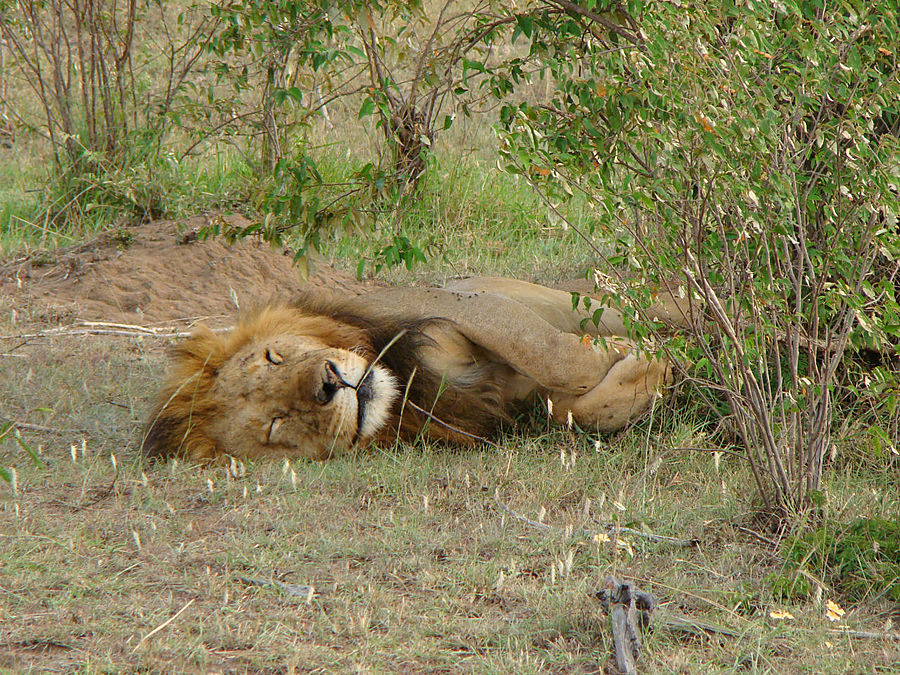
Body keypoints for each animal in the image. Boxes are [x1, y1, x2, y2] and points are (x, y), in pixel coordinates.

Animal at [142, 278, 684, 462]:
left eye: (274, 356)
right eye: (276, 425)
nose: (328, 384)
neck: (405, 392)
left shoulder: (460, 306)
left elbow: (545, 350)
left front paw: (631, 351)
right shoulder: (511, 407)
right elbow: (578, 410)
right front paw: (651, 368)